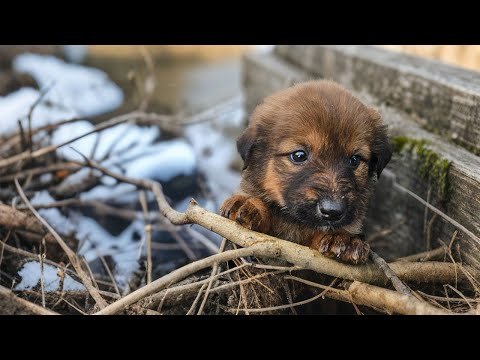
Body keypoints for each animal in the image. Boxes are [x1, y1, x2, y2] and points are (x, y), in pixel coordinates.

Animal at [219, 79, 392, 264]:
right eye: (299, 155)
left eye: (355, 160)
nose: (332, 211)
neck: (294, 221)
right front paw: (250, 205)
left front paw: (342, 238)